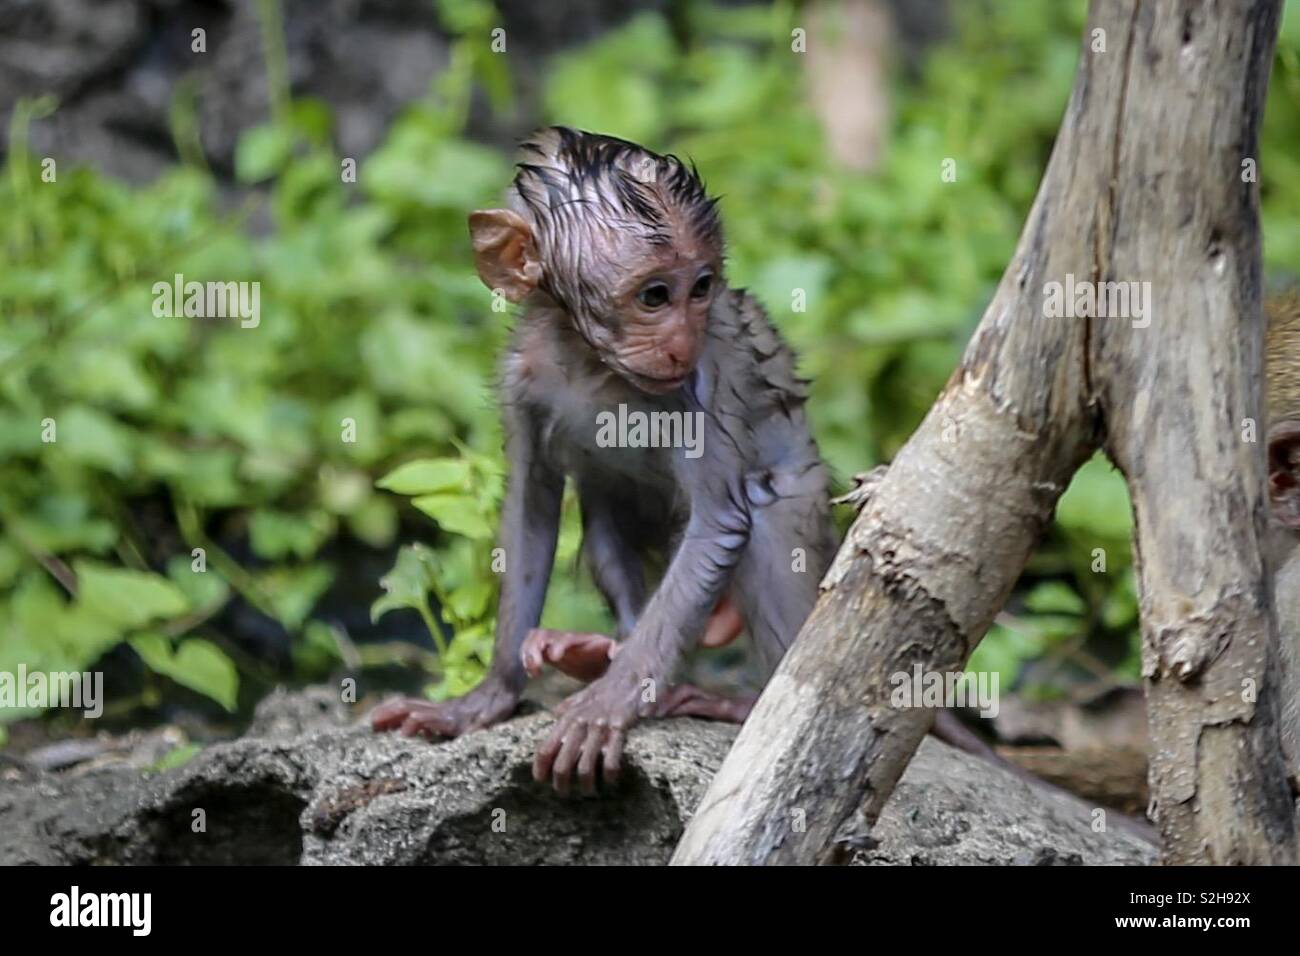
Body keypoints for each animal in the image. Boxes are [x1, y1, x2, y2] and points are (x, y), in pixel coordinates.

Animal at [372, 127, 838, 794]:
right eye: (654, 296)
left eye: (702, 287)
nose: (682, 341)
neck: (592, 362)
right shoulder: (522, 377)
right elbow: (530, 509)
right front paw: (487, 697)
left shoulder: (700, 386)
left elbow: (721, 521)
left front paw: (609, 704)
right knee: (602, 513)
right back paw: (594, 650)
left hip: (803, 500)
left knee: (768, 519)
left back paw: (731, 701)